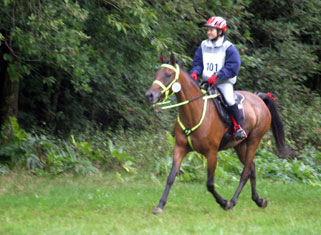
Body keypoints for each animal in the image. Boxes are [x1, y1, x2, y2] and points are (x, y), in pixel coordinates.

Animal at [145, 53, 288, 215]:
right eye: (156, 73)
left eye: (168, 75)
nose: (149, 95)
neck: (194, 112)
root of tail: (258, 97)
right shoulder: (180, 148)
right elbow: (171, 177)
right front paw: (160, 205)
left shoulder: (212, 153)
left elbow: (209, 184)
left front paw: (224, 202)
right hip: (240, 145)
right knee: (252, 167)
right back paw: (259, 200)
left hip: (254, 141)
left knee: (245, 173)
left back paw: (232, 202)